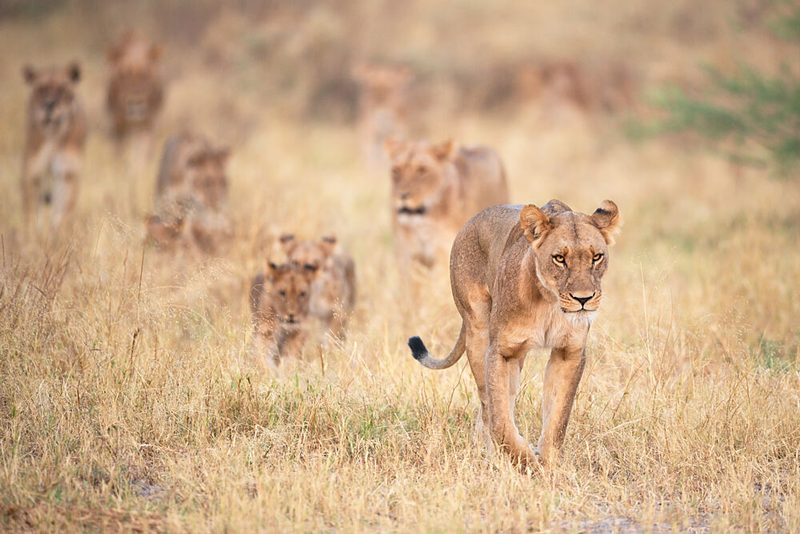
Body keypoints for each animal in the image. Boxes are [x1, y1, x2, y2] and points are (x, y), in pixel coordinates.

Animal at [21, 62, 87, 232]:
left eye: (62, 89)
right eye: (41, 89)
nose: (49, 104)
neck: (53, 134)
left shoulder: (67, 173)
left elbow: (63, 212)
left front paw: (59, 234)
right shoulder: (33, 172)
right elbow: (31, 212)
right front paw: (31, 236)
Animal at [107, 31, 164, 160]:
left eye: (145, 75)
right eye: (123, 75)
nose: (135, 103)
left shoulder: (150, 122)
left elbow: (145, 149)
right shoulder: (117, 122)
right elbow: (119, 150)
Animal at [386, 138, 509, 270]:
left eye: (422, 170)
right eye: (395, 170)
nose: (402, 195)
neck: (421, 220)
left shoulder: (445, 253)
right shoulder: (406, 256)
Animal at [407, 199, 621, 468]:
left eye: (597, 257)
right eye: (559, 258)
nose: (583, 299)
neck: (549, 303)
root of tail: (472, 220)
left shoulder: (569, 352)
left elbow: (558, 417)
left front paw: (548, 464)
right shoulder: (501, 351)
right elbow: (500, 421)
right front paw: (526, 459)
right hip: (478, 331)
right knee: (487, 404)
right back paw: (491, 455)